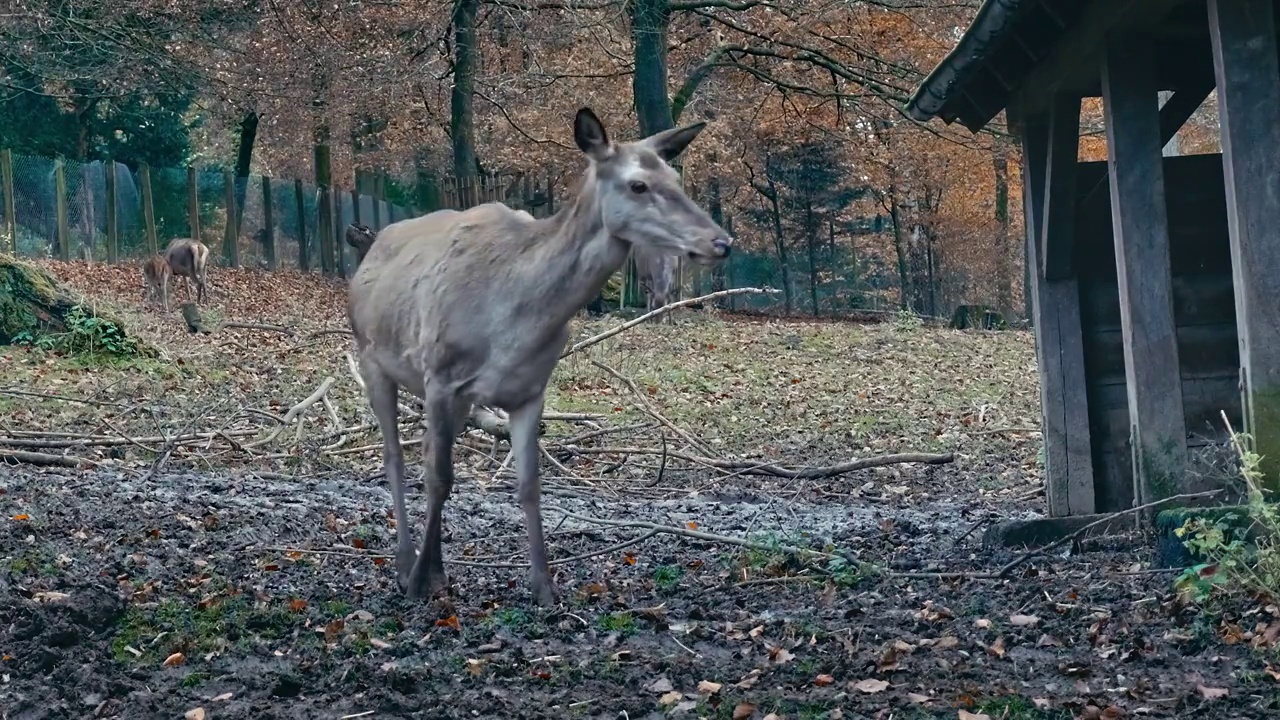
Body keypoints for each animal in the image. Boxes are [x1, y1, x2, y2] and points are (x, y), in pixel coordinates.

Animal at [348, 106, 732, 602]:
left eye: (675, 178)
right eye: (638, 185)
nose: (720, 242)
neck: (516, 321)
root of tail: (372, 247)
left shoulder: (530, 389)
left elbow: (529, 485)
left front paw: (544, 586)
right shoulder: (441, 376)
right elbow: (439, 477)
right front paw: (419, 581)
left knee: (426, 450)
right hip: (372, 356)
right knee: (395, 456)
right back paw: (404, 563)